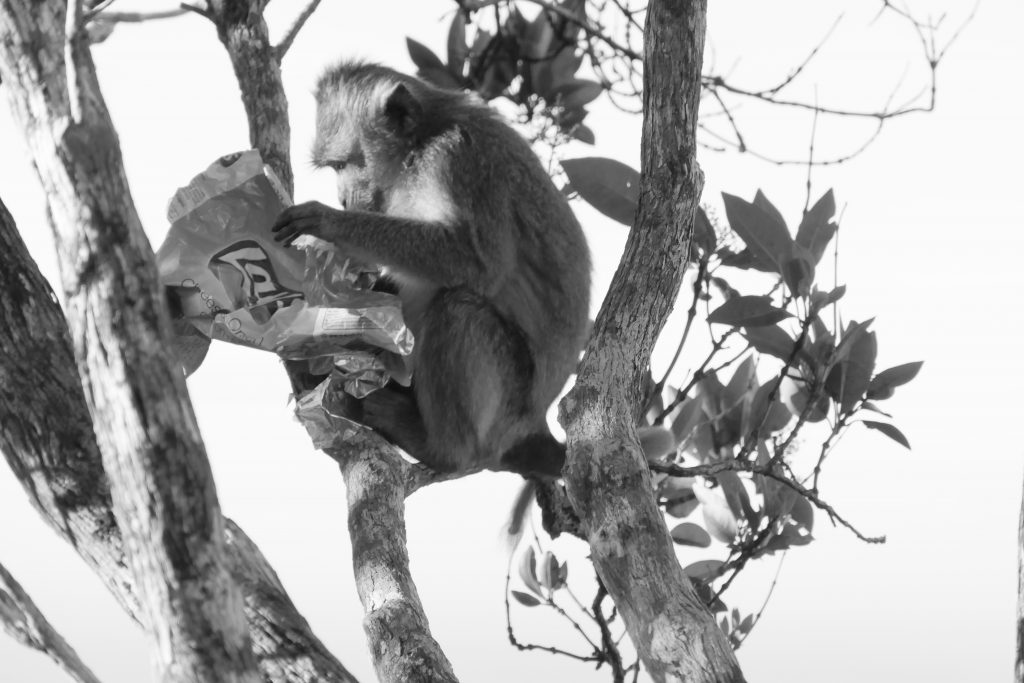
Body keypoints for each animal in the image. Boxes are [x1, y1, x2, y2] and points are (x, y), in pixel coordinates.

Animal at [273, 61, 591, 478]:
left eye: (342, 164)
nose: (341, 198)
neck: (422, 143)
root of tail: (531, 425)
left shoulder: (457, 159)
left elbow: (476, 263)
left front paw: (327, 226)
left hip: (506, 405)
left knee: (459, 308)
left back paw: (441, 448)